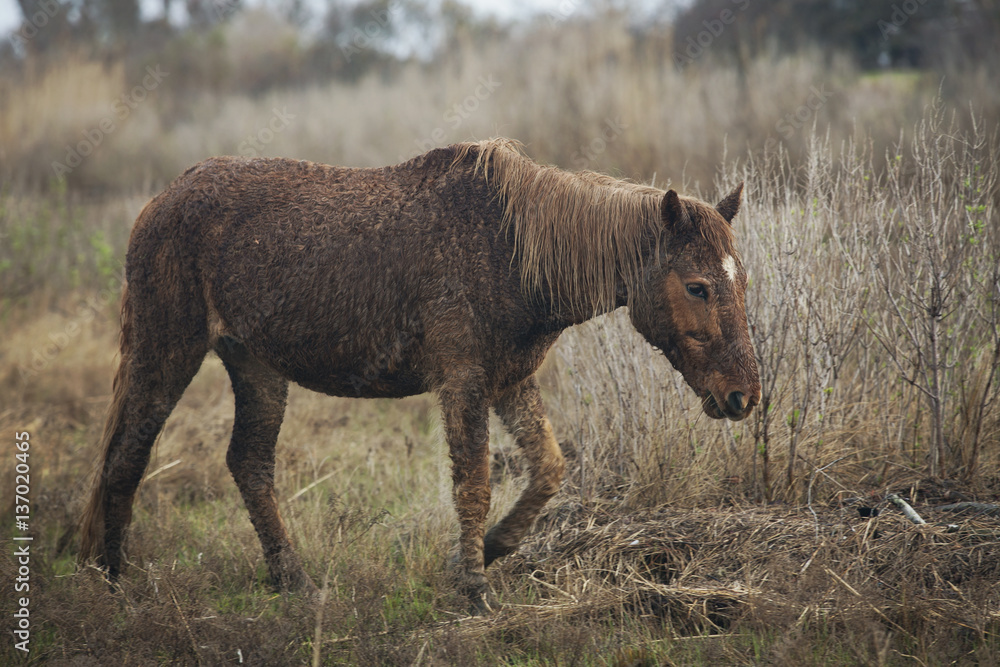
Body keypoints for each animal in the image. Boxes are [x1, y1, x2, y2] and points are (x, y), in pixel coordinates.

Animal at [79, 138, 761, 613]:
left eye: (741, 279)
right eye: (698, 286)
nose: (743, 397)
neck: (517, 257)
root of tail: (159, 202)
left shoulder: (510, 380)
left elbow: (548, 468)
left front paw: (491, 549)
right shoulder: (462, 378)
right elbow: (474, 482)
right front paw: (475, 587)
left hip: (256, 367)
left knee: (246, 464)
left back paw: (293, 582)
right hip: (167, 349)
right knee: (126, 456)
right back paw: (111, 581)